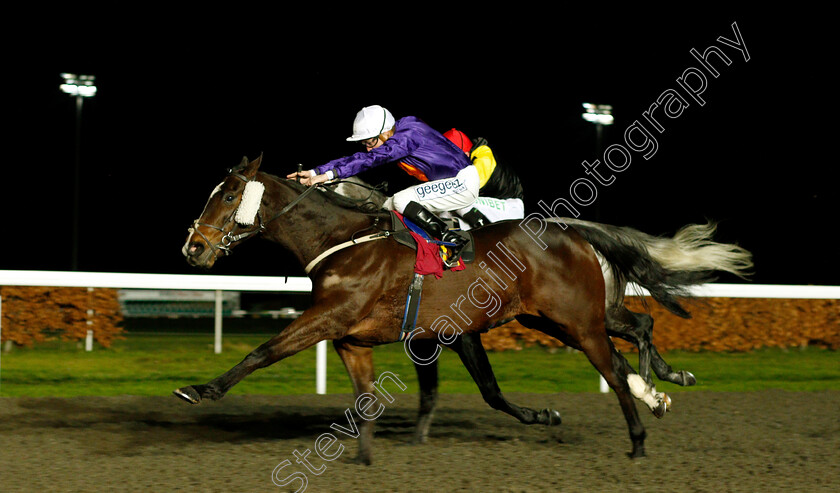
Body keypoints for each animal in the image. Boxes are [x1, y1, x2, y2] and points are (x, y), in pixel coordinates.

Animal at [176, 157, 748, 462]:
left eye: (228, 195)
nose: (194, 248)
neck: (344, 240)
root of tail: (573, 231)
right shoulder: (366, 336)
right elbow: (385, 397)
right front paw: (369, 454)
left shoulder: (331, 319)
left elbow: (263, 351)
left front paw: (201, 389)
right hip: (555, 318)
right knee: (636, 331)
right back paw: (660, 387)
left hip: (577, 322)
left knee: (615, 366)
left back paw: (640, 435)